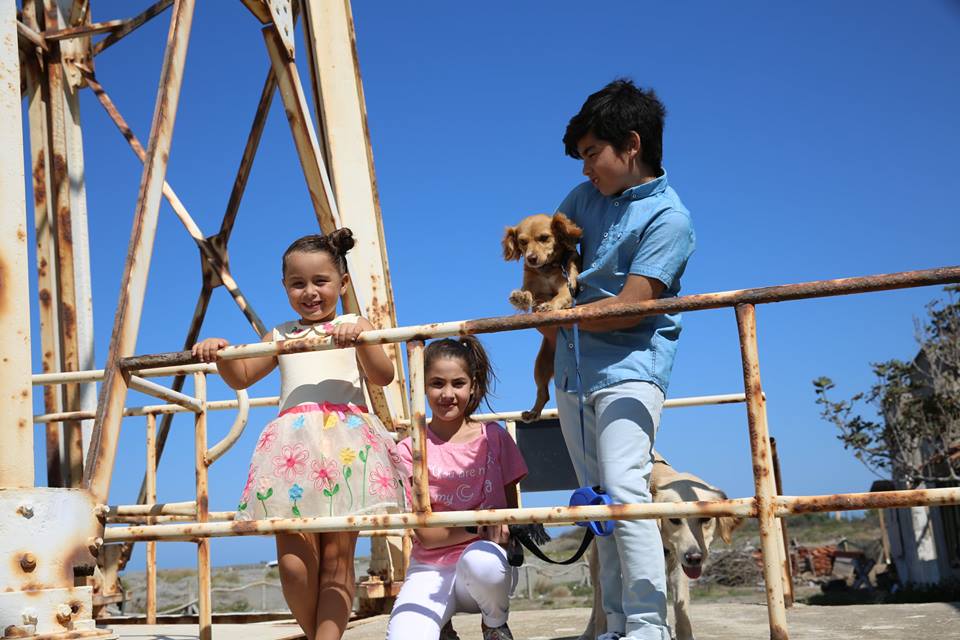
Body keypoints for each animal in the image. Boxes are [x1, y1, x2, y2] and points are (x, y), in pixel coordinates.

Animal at [502, 212, 584, 422]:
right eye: (522, 242)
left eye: (544, 238)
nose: (531, 258)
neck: (547, 268)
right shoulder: (533, 286)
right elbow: (529, 294)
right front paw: (521, 298)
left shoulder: (568, 284)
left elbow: (560, 296)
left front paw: (551, 305)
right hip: (539, 367)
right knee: (543, 393)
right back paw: (532, 412)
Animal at [576, 452, 744, 640]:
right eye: (674, 519)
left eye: (705, 518)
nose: (694, 558)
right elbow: (605, 606)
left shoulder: (678, 563)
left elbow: (680, 605)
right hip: (597, 562)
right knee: (598, 600)